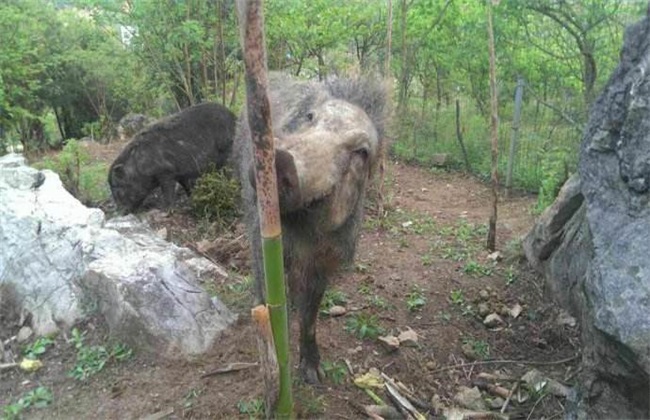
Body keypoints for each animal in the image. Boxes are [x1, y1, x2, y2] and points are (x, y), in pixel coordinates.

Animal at [107, 102, 237, 213]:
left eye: (118, 190)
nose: (120, 212)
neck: (140, 165)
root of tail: (233, 116)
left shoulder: (166, 171)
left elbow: (168, 191)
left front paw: (166, 210)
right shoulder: (181, 173)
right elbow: (186, 186)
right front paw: (192, 199)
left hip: (227, 148)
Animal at [239, 74, 388, 382]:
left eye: (361, 152)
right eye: (310, 118)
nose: (282, 158)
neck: (303, 233)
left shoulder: (327, 259)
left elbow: (311, 315)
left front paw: (315, 376)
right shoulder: (263, 234)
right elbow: (270, 285)